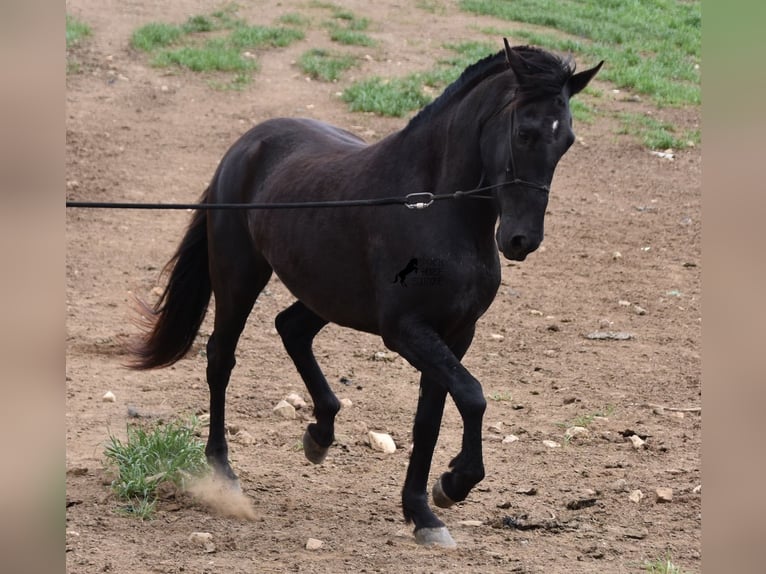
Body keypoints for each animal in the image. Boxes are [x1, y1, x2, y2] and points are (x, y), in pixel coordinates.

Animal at [134, 41, 608, 548]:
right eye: (524, 132)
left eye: (567, 140)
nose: (522, 241)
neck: (433, 207)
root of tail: (246, 145)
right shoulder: (405, 332)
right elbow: (473, 396)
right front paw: (453, 484)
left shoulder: (455, 335)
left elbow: (432, 417)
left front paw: (425, 511)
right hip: (239, 276)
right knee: (221, 358)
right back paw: (224, 472)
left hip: (327, 293)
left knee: (291, 328)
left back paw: (320, 435)